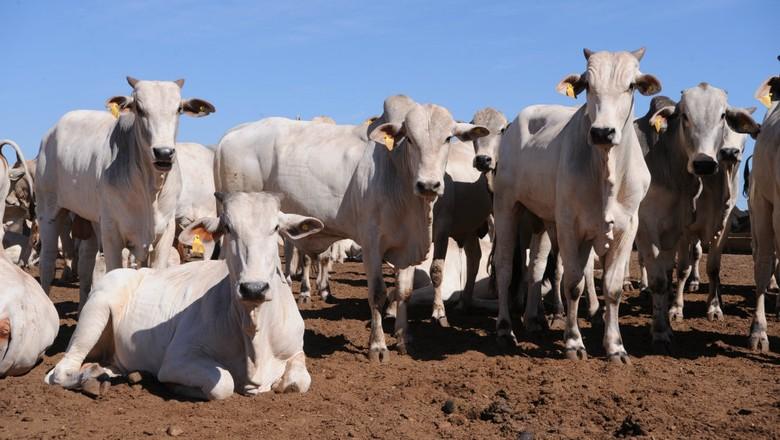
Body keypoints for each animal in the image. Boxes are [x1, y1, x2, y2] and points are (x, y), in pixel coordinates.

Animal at [35, 77, 215, 308]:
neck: (150, 189)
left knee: (86, 263)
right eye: (139, 108)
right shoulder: (112, 231)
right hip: (48, 210)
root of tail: (51, 133)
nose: (164, 153)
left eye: (179, 109)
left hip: (91, 220)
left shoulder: (165, 231)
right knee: (47, 261)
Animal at [45, 192, 320, 398]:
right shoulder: (178, 358)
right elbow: (224, 384)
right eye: (228, 228)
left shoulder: (297, 350)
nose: (254, 288)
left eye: (276, 227)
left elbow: (298, 382)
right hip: (95, 313)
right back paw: (91, 378)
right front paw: (178, 387)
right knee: (60, 371)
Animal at [216, 95, 488, 360]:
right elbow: (377, 294)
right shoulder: (371, 245)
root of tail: (230, 135)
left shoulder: (406, 247)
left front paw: (403, 338)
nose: (428, 185)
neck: (396, 173)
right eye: (410, 139)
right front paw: (377, 346)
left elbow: (404, 292)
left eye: (448, 138)